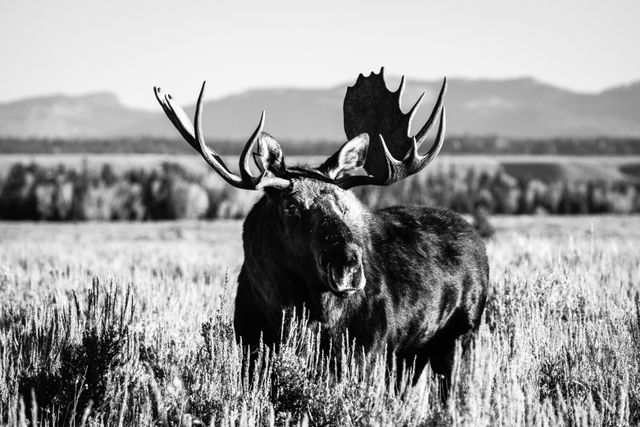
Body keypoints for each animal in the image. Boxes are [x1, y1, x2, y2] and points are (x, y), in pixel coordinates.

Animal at [155, 69, 490, 394]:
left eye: (344, 204)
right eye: (291, 206)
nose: (348, 266)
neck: (289, 305)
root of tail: (477, 241)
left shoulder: (367, 349)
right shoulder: (252, 347)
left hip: (460, 337)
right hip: (413, 353)